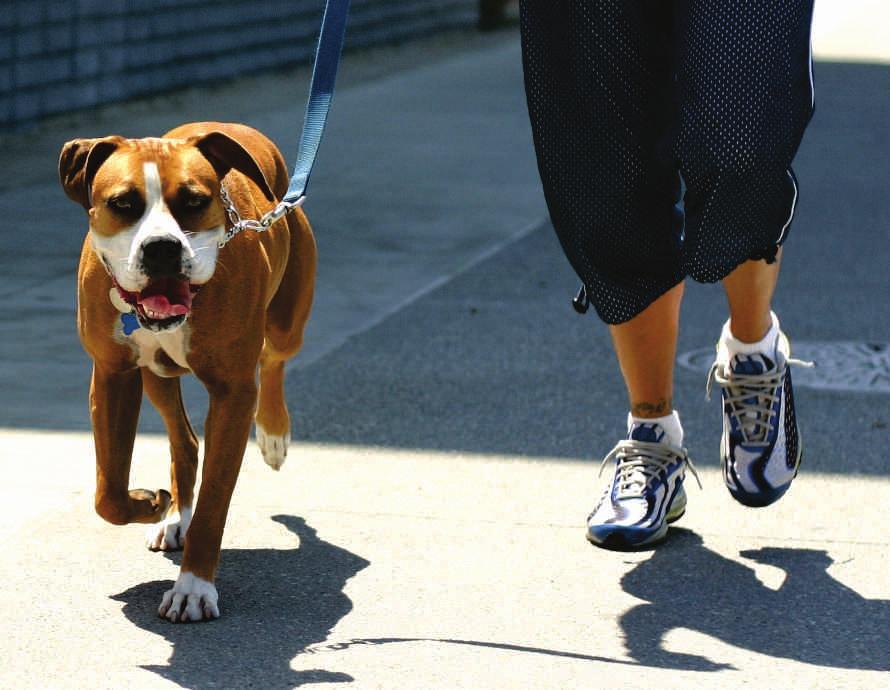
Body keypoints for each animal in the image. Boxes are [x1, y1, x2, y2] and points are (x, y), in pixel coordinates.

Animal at [59, 121, 316, 620]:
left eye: (194, 201)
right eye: (123, 204)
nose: (162, 247)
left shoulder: (233, 393)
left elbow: (216, 501)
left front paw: (194, 587)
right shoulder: (112, 375)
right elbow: (108, 492)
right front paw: (148, 503)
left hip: (286, 322)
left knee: (274, 358)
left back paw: (274, 434)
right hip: (156, 377)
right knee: (185, 441)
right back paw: (176, 515)